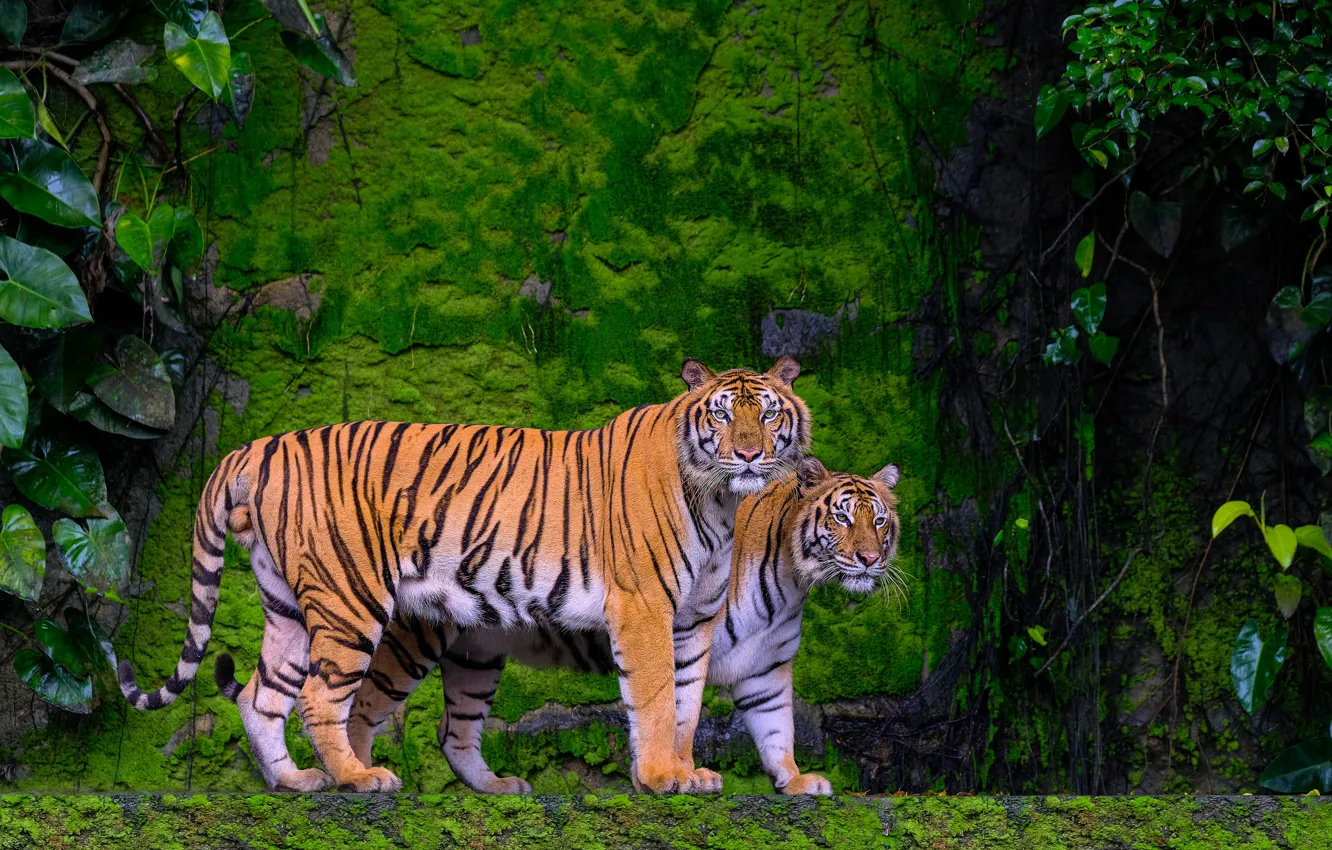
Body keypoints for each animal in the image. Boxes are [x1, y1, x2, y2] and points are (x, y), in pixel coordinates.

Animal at [117, 356, 810, 794]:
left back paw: (294, 781)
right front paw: (663, 777)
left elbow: (688, 700)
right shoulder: (644, 606)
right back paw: (357, 779)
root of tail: (259, 445)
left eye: (770, 415)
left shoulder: (694, 618)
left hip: (288, 602)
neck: (720, 501)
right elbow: (659, 697)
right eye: (721, 415)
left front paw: (687, 772)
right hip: (349, 598)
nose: (749, 454)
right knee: (319, 697)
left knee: (263, 696)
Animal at [340, 455, 902, 795]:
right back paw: (362, 778)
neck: (791, 582)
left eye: (879, 521)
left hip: (477, 653)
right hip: (412, 641)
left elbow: (777, 729)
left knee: (453, 728)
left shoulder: (765, 669)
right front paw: (673, 776)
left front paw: (796, 782)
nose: (871, 559)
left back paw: (498, 787)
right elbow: (669, 709)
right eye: (842, 518)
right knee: (361, 706)